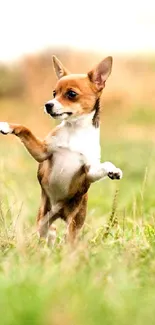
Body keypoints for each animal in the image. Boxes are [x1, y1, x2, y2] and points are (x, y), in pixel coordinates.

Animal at [0, 55, 122, 243]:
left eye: (71, 94)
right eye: (54, 93)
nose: (48, 104)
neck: (75, 130)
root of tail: (57, 212)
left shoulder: (89, 171)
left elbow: (104, 165)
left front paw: (113, 171)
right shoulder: (42, 152)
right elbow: (25, 129)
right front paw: (7, 126)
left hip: (74, 223)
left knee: (67, 239)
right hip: (43, 218)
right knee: (47, 232)